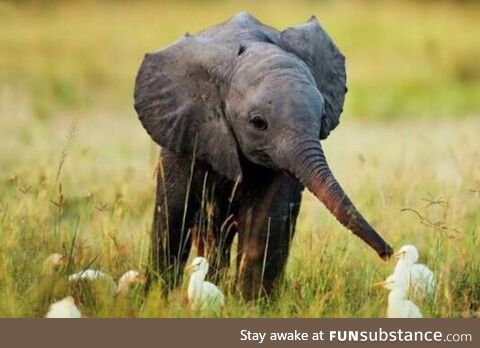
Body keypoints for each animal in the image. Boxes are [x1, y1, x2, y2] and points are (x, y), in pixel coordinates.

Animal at [133, 11, 392, 300]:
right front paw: (157, 298)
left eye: (323, 116)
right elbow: (174, 215)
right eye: (258, 123)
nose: (388, 253)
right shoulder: (185, 131)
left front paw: (251, 303)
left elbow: (265, 220)